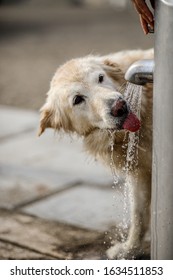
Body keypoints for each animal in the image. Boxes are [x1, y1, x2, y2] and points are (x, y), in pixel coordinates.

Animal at [38, 48, 153, 260]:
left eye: (100, 78)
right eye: (77, 99)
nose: (119, 106)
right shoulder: (139, 172)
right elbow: (138, 215)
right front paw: (129, 250)